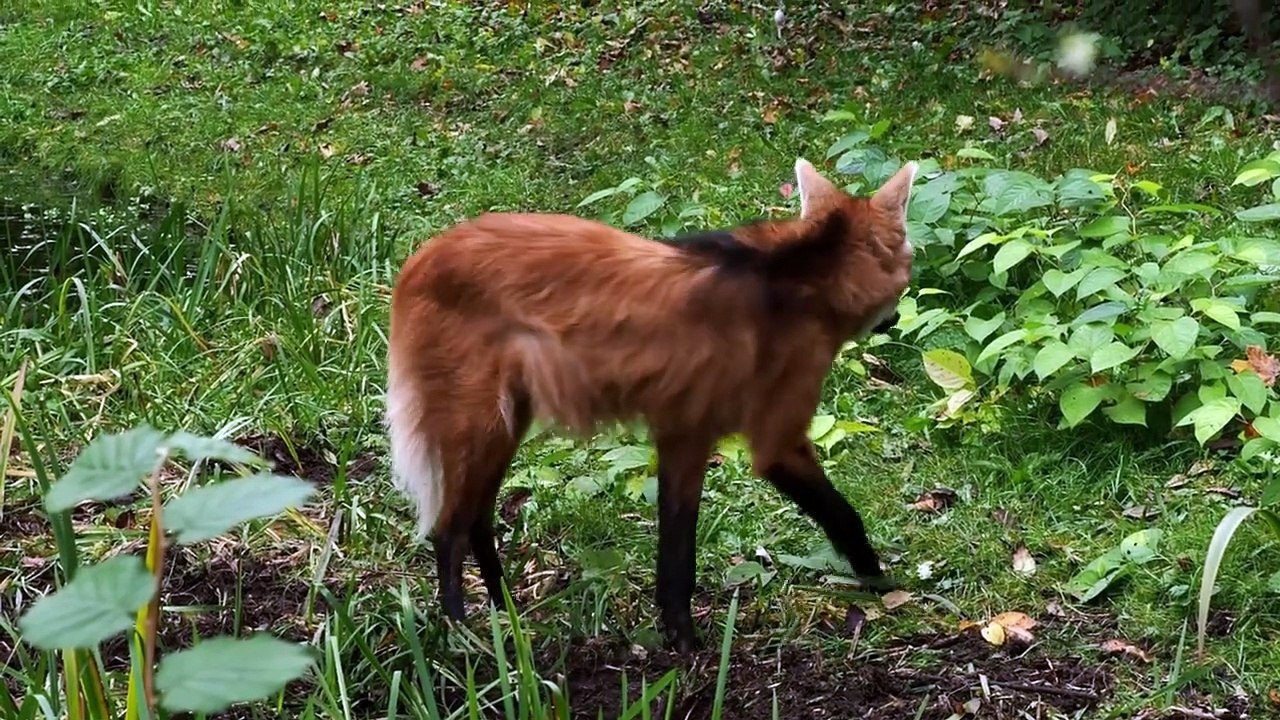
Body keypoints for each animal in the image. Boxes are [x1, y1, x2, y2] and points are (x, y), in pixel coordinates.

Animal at [385, 157, 917, 652]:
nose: (892, 321)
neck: (803, 276)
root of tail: (418, 259)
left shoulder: (685, 430)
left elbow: (676, 547)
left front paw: (679, 639)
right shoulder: (774, 435)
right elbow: (843, 515)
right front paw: (882, 586)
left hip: (507, 418)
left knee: (477, 516)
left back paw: (506, 614)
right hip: (482, 420)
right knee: (449, 527)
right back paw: (463, 634)